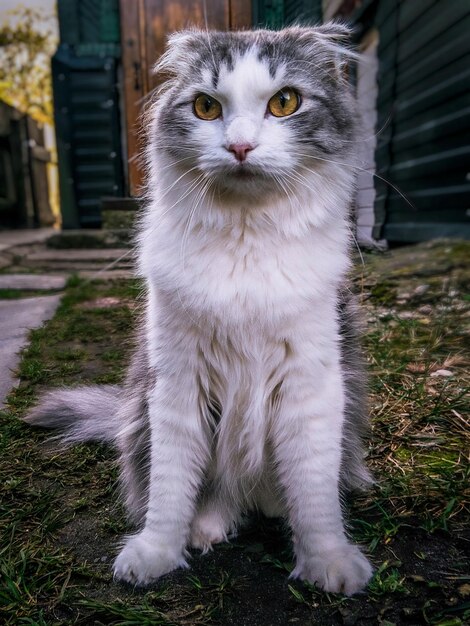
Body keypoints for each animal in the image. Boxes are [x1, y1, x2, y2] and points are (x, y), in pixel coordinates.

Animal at [28, 23, 374, 588]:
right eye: (206, 108)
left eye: (285, 102)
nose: (240, 146)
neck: (245, 240)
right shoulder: (178, 381)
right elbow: (170, 491)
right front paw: (156, 552)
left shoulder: (311, 382)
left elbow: (315, 492)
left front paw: (328, 561)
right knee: (216, 494)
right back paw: (208, 526)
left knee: (277, 490)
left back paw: (274, 508)